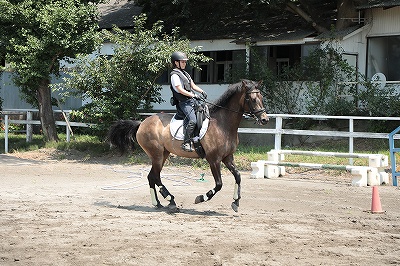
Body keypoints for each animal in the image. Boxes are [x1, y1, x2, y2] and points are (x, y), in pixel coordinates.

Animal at [106, 79, 268, 212]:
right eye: (252, 99)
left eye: (261, 98)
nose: (265, 119)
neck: (222, 124)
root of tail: (141, 123)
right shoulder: (213, 159)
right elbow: (219, 184)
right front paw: (201, 198)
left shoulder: (227, 157)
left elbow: (238, 176)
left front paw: (236, 202)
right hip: (156, 154)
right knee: (155, 177)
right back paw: (170, 200)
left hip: (163, 154)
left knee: (152, 176)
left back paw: (158, 203)